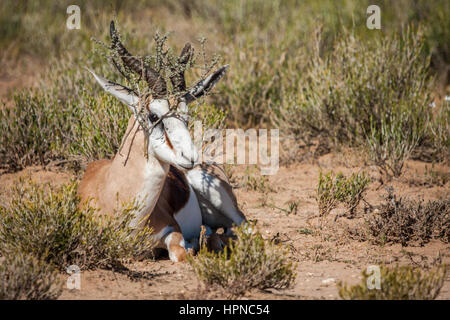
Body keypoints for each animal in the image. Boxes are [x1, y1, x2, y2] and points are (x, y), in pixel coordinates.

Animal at [78, 21, 246, 262]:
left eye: (186, 115)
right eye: (153, 115)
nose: (190, 157)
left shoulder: (172, 230)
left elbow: (181, 253)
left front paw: (194, 246)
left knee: (242, 226)